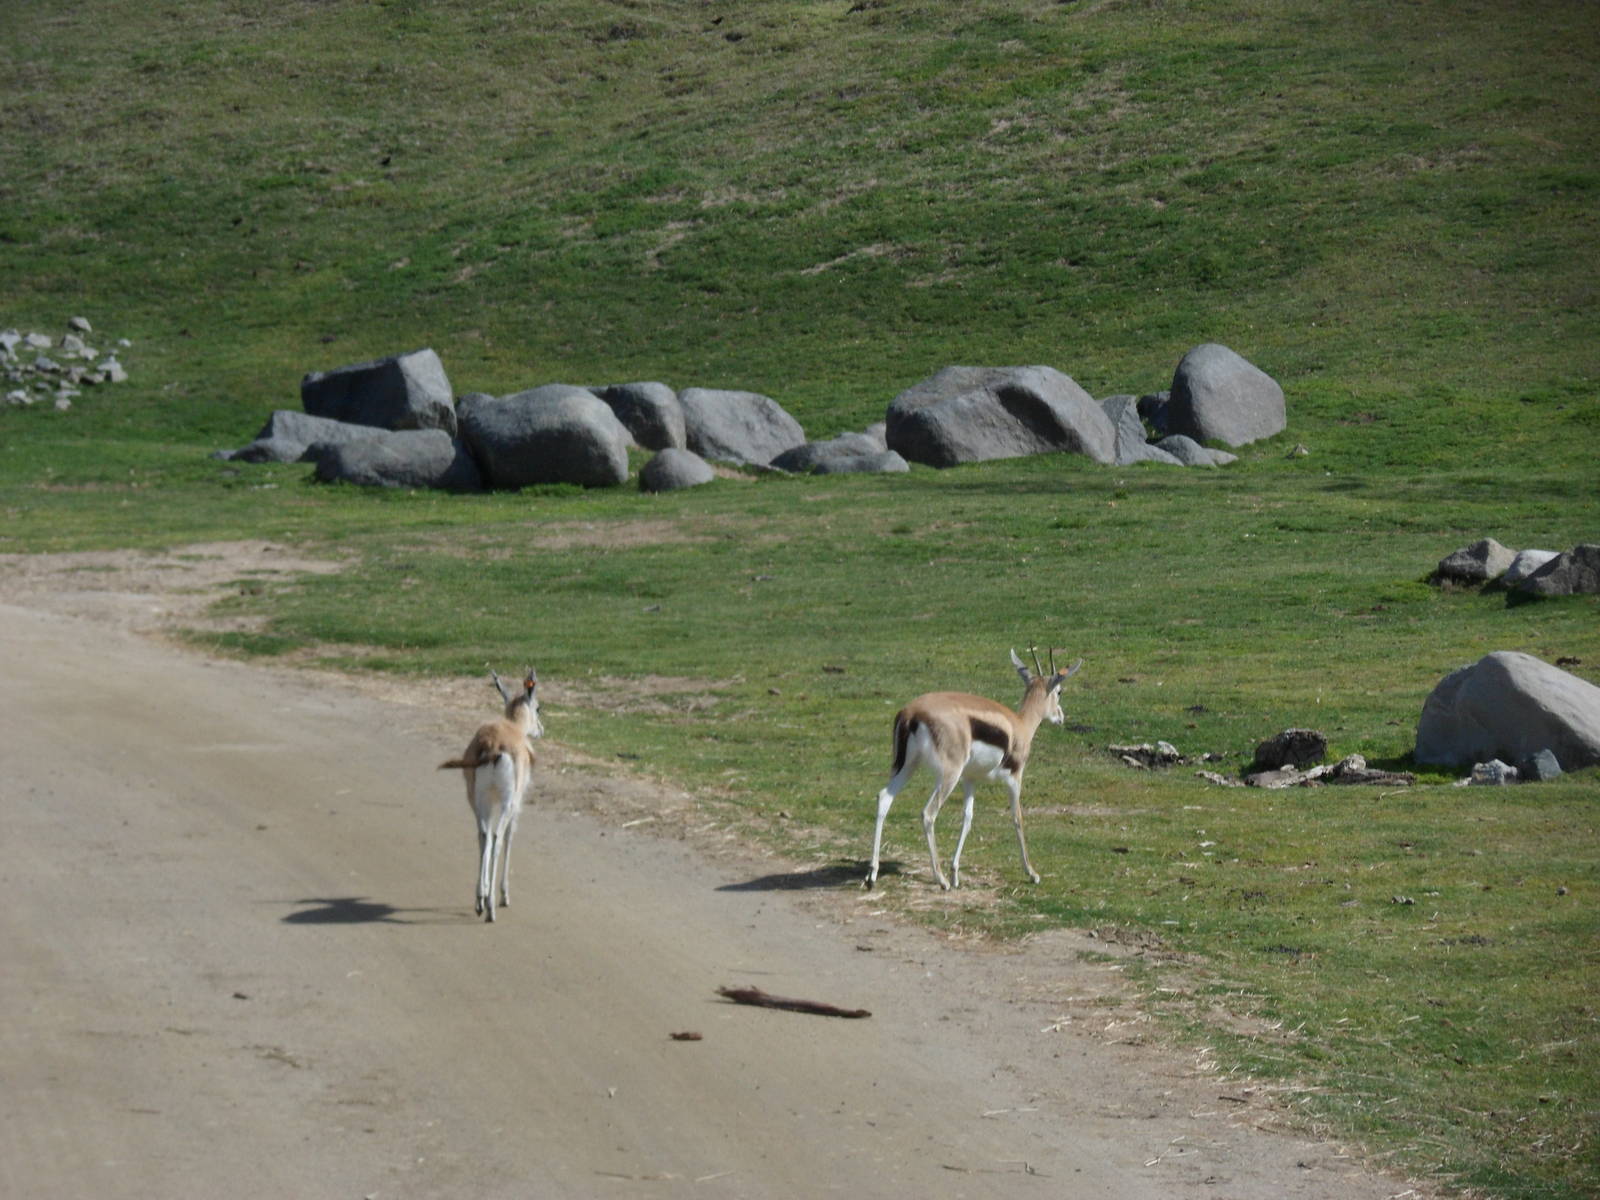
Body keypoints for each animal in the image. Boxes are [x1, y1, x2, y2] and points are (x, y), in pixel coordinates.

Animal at [439, 668, 543, 921]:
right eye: (538, 708)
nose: (541, 730)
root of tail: (494, 746)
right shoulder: (516, 804)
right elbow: (509, 836)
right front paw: (504, 896)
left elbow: (485, 837)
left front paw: (484, 895)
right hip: (505, 802)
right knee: (496, 838)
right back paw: (491, 908)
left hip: (479, 801)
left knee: (483, 835)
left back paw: (480, 900)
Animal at [866, 648, 1081, 891]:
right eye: (1059, 692)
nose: (1060, 717)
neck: (1020, 725)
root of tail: (911, 713)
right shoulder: (1014, 778)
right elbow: (1017, 818)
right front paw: (1032, 873)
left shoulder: (970, 779)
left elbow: (968, 818)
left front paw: (955, 874)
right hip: (948, 775)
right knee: (928, 814)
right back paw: (940, 879)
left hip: (907, 767)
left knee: (884, 798)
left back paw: (872, 874)